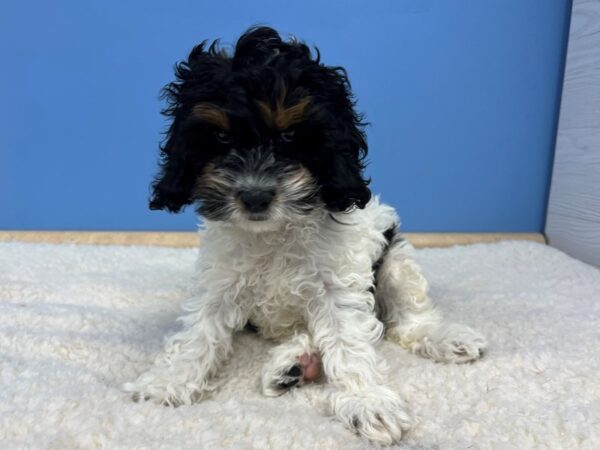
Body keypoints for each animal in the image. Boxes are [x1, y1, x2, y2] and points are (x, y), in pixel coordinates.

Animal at [123, 28, 488, 446]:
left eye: (289, 135)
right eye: (220, 136)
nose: (255, 196)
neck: (274, 232)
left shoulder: (338, 283)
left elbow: (348, 337)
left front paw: (367, 401)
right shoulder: (221, 280)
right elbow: (200, 330)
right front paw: (166, 382)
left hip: (394, 257)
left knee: (405, 318)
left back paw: (445, 337)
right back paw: (294, 364)